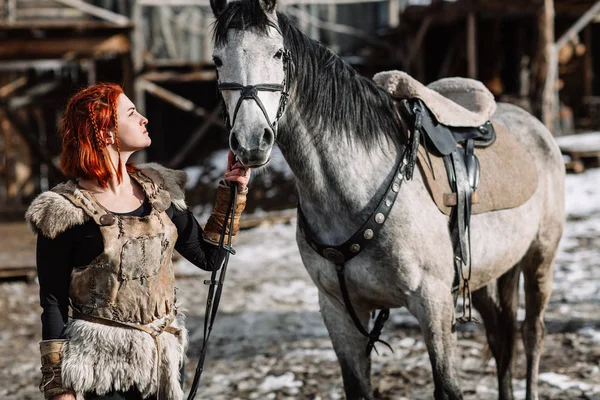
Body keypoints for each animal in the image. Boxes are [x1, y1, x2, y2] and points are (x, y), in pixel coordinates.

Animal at [209, 0, 564, 400]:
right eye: (217, 60)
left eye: (278, 53)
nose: (252, 142)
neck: (353, 191)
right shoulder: (338, 312)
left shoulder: (433, 304)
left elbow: (448, 386)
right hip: (490, 273)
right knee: (502, 339)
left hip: (540, 259)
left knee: (532, 333)